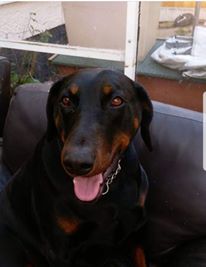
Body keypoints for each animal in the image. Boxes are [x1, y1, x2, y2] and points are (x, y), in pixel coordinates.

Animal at [0, 69, 151, 267]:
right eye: (66, 100)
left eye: (117, 101)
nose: (76, 163)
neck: (106, 195)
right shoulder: (60, 249)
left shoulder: (136, 233)